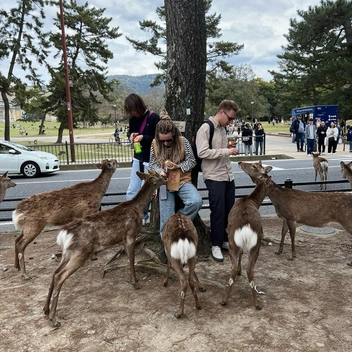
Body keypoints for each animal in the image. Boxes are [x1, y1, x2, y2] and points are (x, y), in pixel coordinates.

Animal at [44, 170, 168, 328]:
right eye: (158, 176)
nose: (166, 178)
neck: (138, 208)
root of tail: (64, 234)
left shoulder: (123, 239)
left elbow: (129, 259)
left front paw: (132, 280)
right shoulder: (130, 235)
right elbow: (132, 260)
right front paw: (136, 283)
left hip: (67, 253)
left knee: (54, 273)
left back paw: (45, 310)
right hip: (81, 251)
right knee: (60, 276)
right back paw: (54, 319)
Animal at [220, 177, 270, 310]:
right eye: (271, 184)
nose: (275, 187)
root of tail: (246, 227)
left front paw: (239, 271)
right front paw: (240, 271)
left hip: (234, 242)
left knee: (236, 268)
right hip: (255, 244)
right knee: (249, 269)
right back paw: (256, 304)